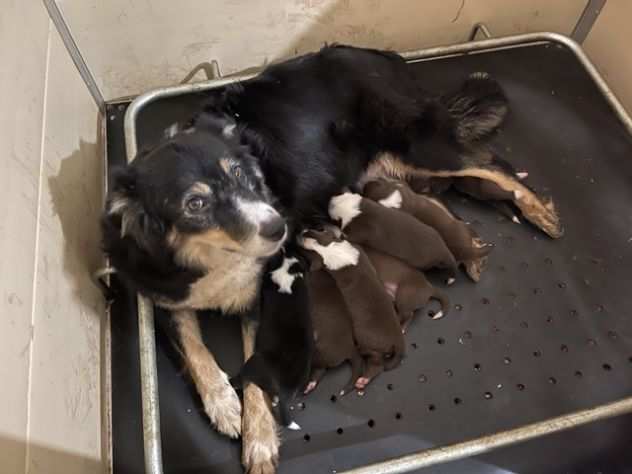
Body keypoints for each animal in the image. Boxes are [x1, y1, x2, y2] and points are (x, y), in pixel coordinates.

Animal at [302, 228, 404, 390]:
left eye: (310, 253)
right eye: (320, 230)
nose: (304, 233)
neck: (332, 249)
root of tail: (399, 341)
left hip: (368, 346)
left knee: (377, 365)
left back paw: (363, 380)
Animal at [328, 193, 456, 278]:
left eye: (332, 208)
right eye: (342, 195)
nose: (330, 199)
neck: (356, 211)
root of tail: (443, 250)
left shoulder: (357, 233)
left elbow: (345, 235)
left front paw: (333, 228)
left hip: (421, 262)